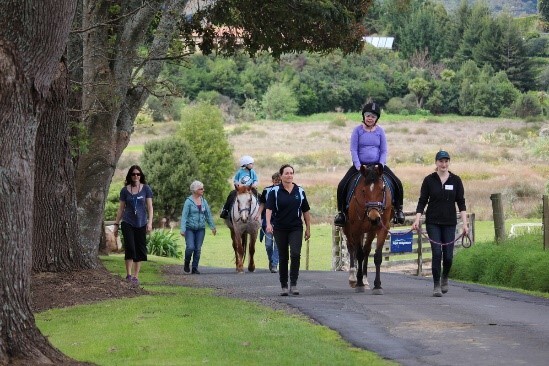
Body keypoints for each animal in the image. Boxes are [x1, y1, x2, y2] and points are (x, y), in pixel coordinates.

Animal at [340, 163, 392, 294]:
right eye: (363, 190)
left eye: (382, 189)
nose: (374, 218)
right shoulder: (356, 229)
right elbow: (359, 254)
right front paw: (359, 284)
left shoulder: (381, 229)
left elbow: (377, 256)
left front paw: (377, 286)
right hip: (348, 229)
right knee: (351, 248)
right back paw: (353, 278)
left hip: (369, 231)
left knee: (366, 250)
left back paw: (365, 279)